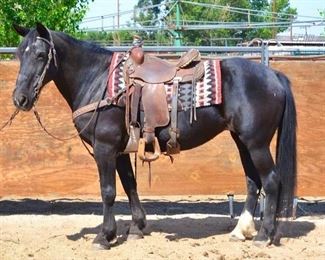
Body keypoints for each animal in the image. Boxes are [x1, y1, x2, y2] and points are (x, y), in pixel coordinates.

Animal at [12, 23, 296, 248]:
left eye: (40, 55)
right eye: (18, 54)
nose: (20, 99)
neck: (98, 80)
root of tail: (274, 75)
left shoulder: (105, 148)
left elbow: (108, 191)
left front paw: (105, 236)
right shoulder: (120, 150)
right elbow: (130, 185)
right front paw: (137, 228)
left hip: (256, 143)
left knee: (271, 180)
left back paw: (264, 235)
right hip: (242, 141)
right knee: (253, 181)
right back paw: (241, 231)